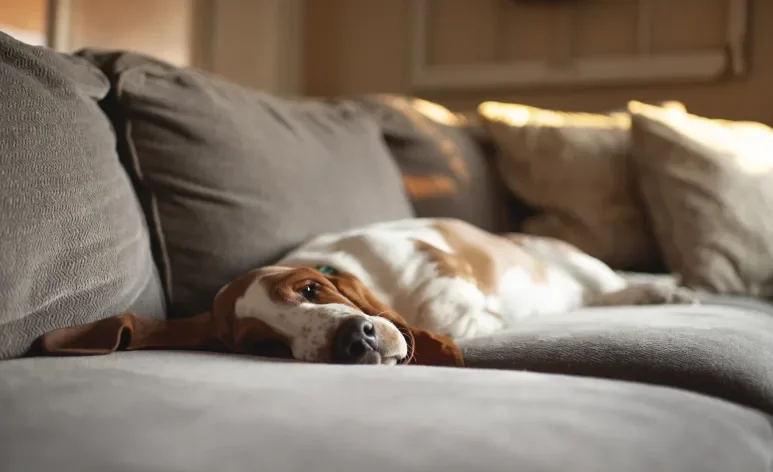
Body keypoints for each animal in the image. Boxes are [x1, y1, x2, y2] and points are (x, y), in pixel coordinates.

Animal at [232, 218, 696, 366]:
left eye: (311, 289)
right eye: (265, 345)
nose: (352, 341)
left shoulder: (435, 260)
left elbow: (441, 308)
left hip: (579, 263)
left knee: (616, 286)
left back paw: (666, 291)